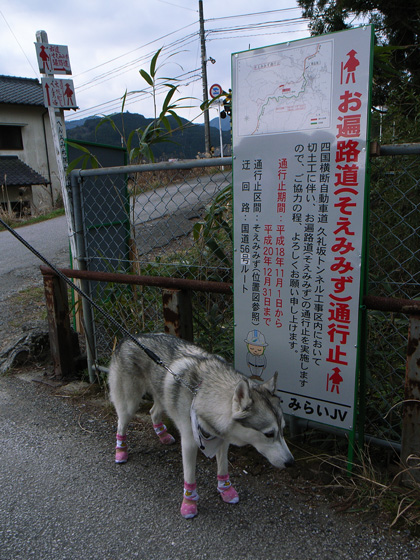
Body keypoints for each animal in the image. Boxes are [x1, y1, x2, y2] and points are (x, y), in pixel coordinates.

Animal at [108, 332, 294, 520]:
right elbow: (190, 478)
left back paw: (163, 435)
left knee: (153, 412)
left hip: (161, 396)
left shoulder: (222, 440)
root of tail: (128, 338)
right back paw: (121, 451)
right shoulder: (190, 443)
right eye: (269, 434)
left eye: (282, 430)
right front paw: (189, 504)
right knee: (121, 423)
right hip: (130, 405)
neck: (201, 393)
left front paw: (226, 490)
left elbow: (223, 468)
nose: (291, 462)